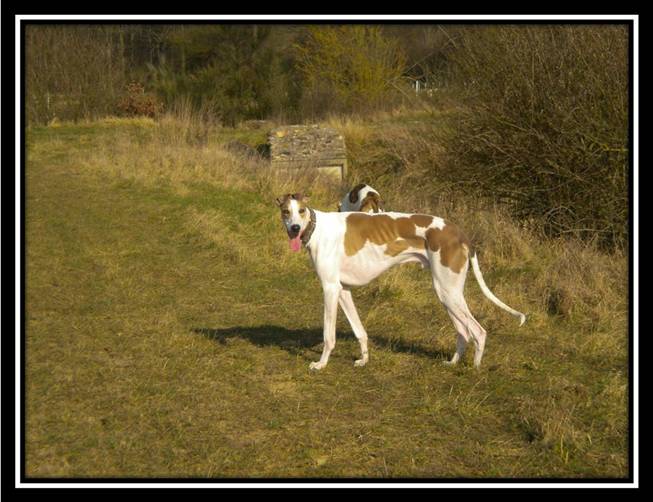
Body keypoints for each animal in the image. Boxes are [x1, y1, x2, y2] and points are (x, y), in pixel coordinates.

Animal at [275, 192, 526, 370]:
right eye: (286, 212)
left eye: (302, 211)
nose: (294, 228)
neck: (317, 228)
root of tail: (460, 233)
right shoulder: (343, 290)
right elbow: (359, 330)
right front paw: (364, 360)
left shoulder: (330, 289)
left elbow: (329, 335)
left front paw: (321, 364)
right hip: (447, 293)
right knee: (463, 332)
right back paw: (453, 363)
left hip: (448, 291)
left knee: (478, 331)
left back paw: (475, 369)